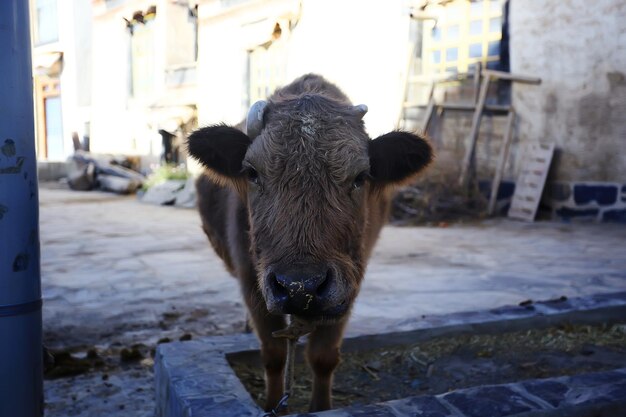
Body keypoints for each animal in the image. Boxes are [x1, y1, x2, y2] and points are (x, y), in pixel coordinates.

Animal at [185, 73, 428, 412]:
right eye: (252, 173)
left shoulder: (349, 282)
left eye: (360, 176)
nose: (300, 287)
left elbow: (323, 357)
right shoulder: (251, 281)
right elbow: (273, 355)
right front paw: (273, 404)